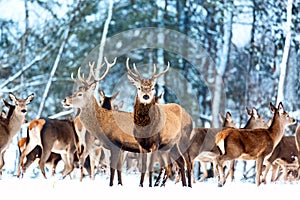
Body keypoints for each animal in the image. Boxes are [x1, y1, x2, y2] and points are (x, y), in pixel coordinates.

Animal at [125, 57, 193, 188]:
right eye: (139, 87)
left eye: (152, 88)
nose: (146, 96)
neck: (145, 129)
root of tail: (190, 117)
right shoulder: (141, 145)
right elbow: (143, 167)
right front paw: (141, 185)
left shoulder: (156, 143)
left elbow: (151, 167)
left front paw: (151, 185)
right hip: (171, 146)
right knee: (180, 162)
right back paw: (183, 185)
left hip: (184, 140)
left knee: (188, 162)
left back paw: (189, 186)